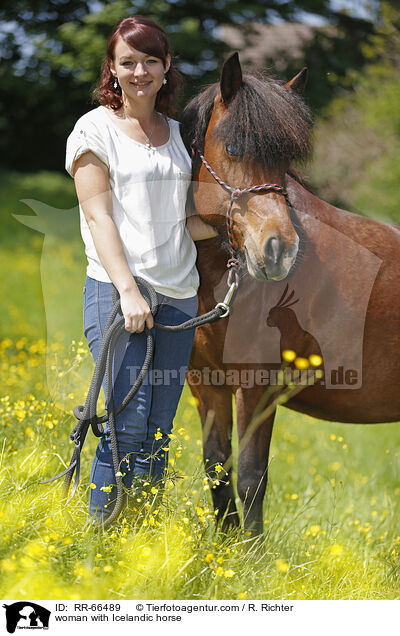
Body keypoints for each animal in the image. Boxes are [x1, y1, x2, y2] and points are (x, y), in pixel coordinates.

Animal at [180, 52, 400, 536]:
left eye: (285, 160)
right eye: (235, 149)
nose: (278, 250)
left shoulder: (258, 387)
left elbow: (250, 478)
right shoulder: (207, 385)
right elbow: (218, 471)